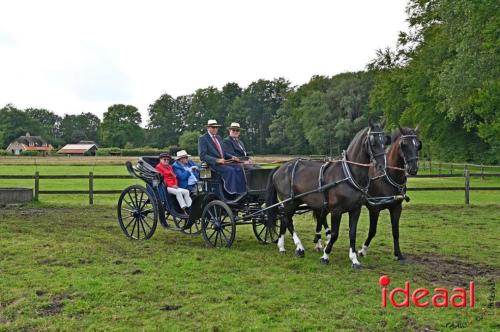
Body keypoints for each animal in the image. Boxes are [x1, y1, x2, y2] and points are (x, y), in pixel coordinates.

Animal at [266, 123, 390, 268]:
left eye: (385, 141)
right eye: (373, 141)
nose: (382, 166)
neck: (348, 174)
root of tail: (280, 168)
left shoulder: (355, 209)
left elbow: (352, 233)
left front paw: (354, 259)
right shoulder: (336, 210)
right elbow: (335, 234)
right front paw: (325, 256)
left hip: (294, 202)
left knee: (284, 219)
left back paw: (281, 247)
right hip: (289, 202)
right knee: (287, 220)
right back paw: (299, 247)